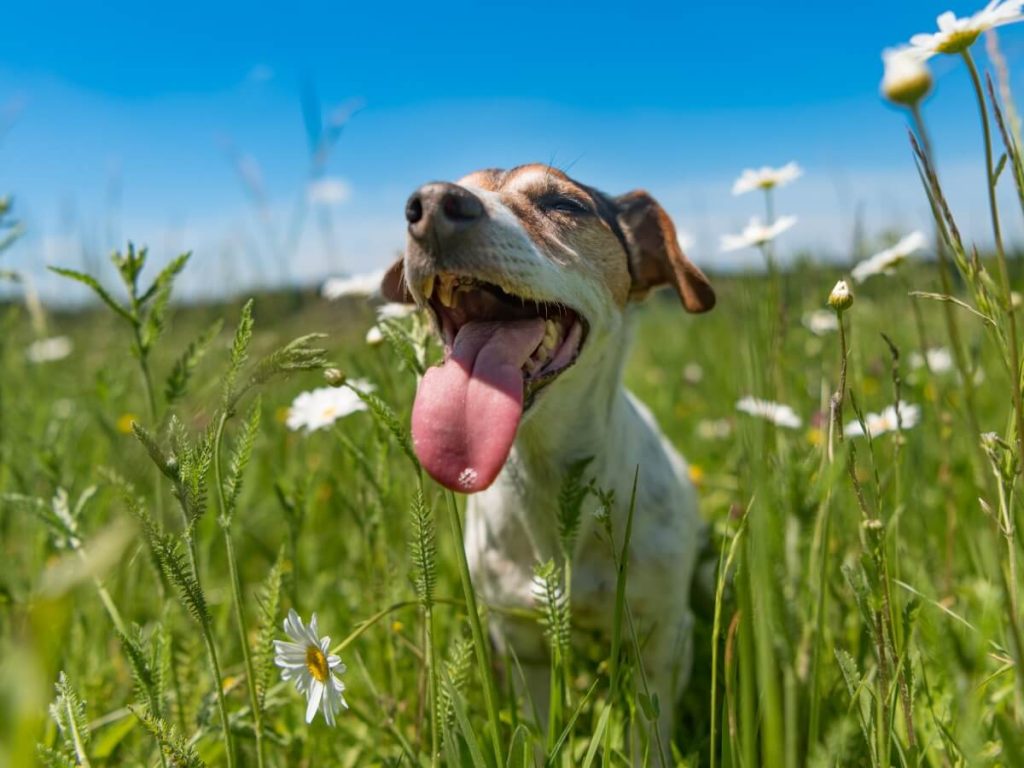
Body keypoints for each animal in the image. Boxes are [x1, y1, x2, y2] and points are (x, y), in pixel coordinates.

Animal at [380, 163, 716, 757]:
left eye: (564, 204)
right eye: (415, 205)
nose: (432, 205)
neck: (550, 475)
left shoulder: (661, 643)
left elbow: (648, 735)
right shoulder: (523, 645)